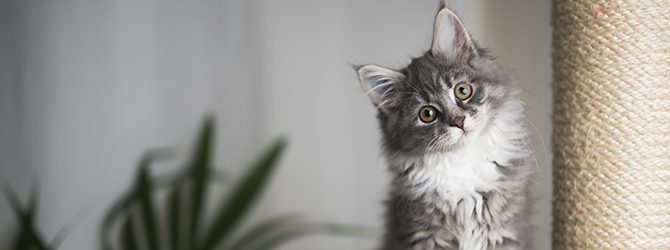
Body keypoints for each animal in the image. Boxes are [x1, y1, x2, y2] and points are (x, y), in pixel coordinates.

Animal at [356, 4, 536, 250]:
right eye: (427, 114)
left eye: (463, 90)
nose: (459, 121)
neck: (462, 161)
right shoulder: (422, 233)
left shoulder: (506, 231)